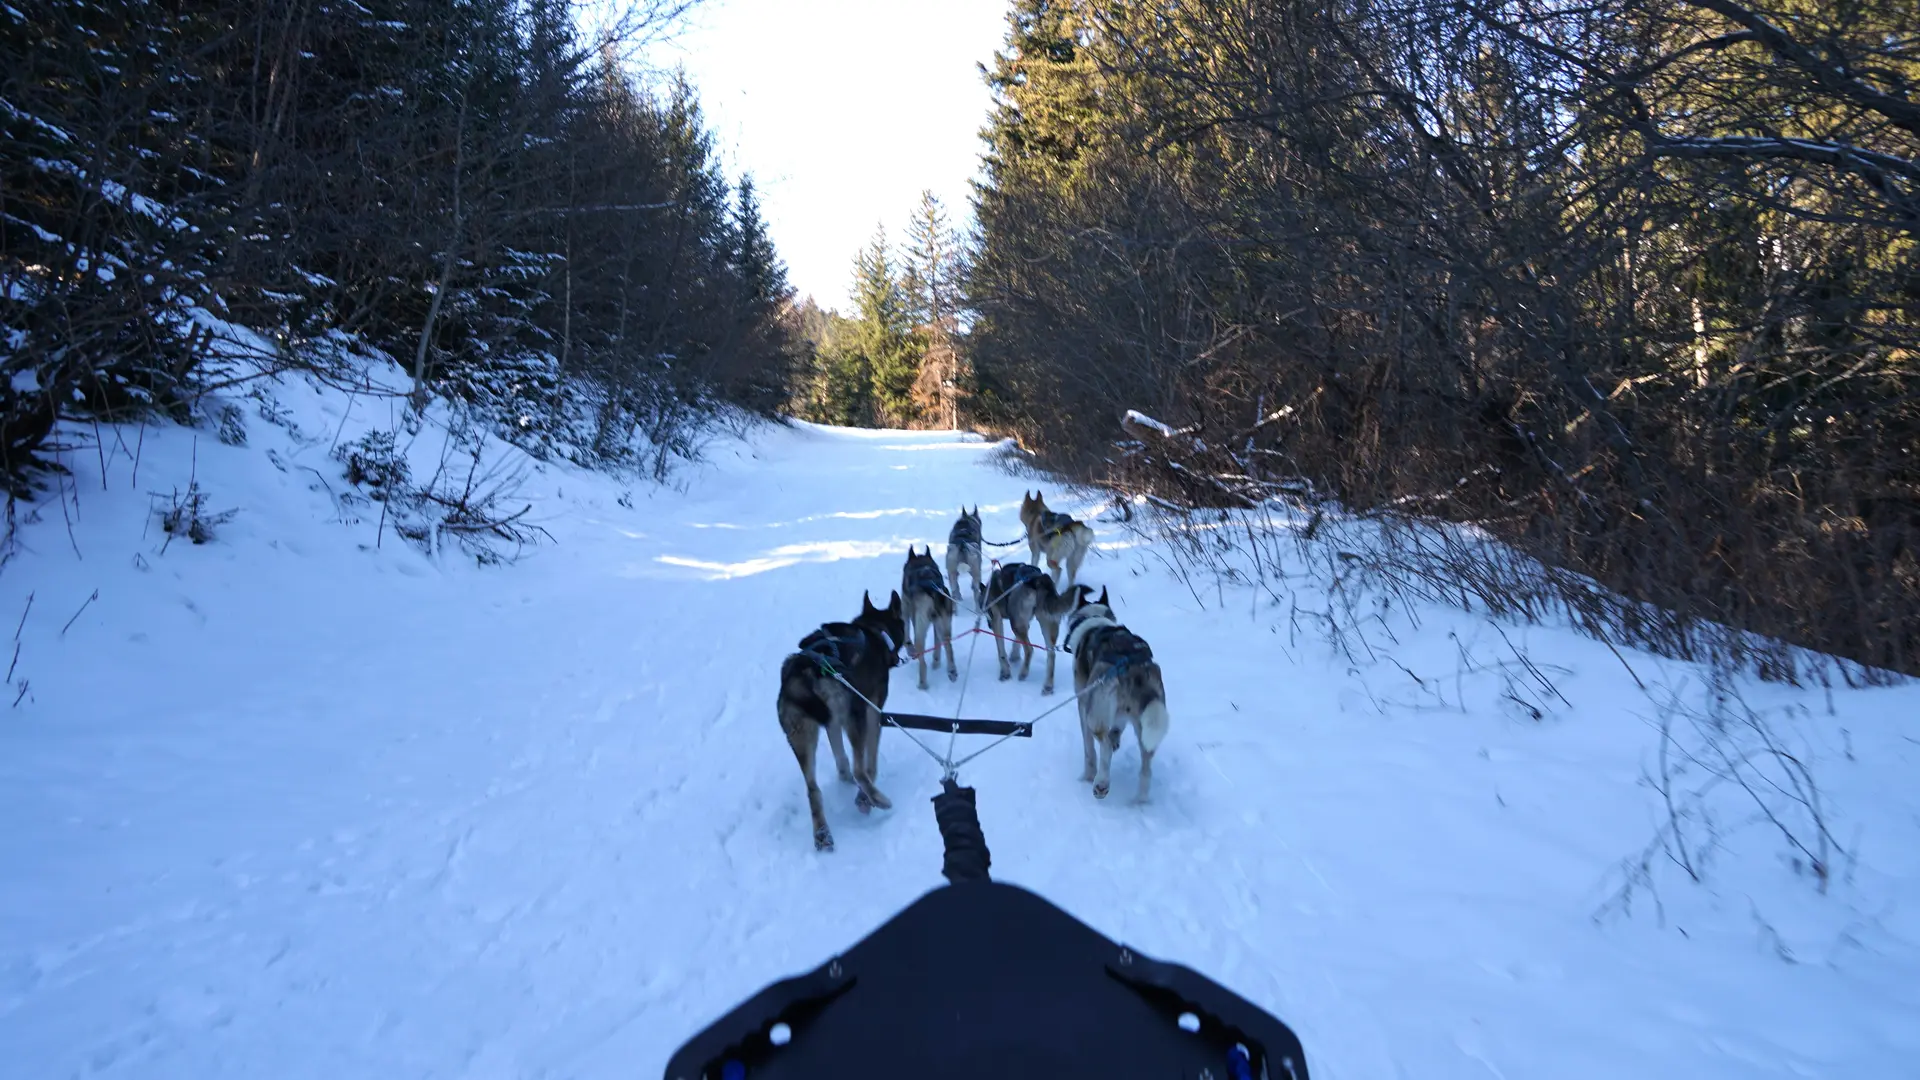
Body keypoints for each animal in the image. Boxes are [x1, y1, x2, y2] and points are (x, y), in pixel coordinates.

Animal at [771, 588, 906, 849]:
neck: (874, 630)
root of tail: (806, 671)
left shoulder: (833, 723)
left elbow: (841, 759)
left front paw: (846, 781)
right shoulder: (872, 711)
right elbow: (869, 763)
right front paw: (864, 795)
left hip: (801, 736)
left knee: (813, 789)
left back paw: (822, 833)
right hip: (854, 718)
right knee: (860, 770)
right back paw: (876, 799)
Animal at [898, 541, 960, 684]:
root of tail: (933, 590)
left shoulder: (906, 609)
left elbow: (906, 633)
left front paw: (910, 650)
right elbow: (938, 644)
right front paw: (936, 662)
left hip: (920, 629)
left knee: (922, 658)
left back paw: (922, 684)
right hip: (944, 623)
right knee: (947, 644)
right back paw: (951, 670)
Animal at [983, 557, 1090, 691]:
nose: (988, 625)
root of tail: (1039, 580)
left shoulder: (997, 620)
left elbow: (1001, 651)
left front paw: (1005, 672)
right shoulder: (1023, 623)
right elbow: (1016, 642)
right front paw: (1014, 655)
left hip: (1017, 624)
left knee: (1030, 649)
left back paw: (1024, 673)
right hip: (1047, 624)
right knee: (1051, 654)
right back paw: (1048, 685)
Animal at [1067, 584, 1167, 803]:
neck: (1094, 620)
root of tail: (1134, 666)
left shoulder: (1083, 705)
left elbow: (1089, 751)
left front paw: (1086, 776)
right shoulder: (1120, 715)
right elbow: (1116, 729)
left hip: (1094, 716)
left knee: (1103, 746)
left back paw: (1101, 783)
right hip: (1146, 725)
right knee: (1146, 767)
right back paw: (1139, 801)